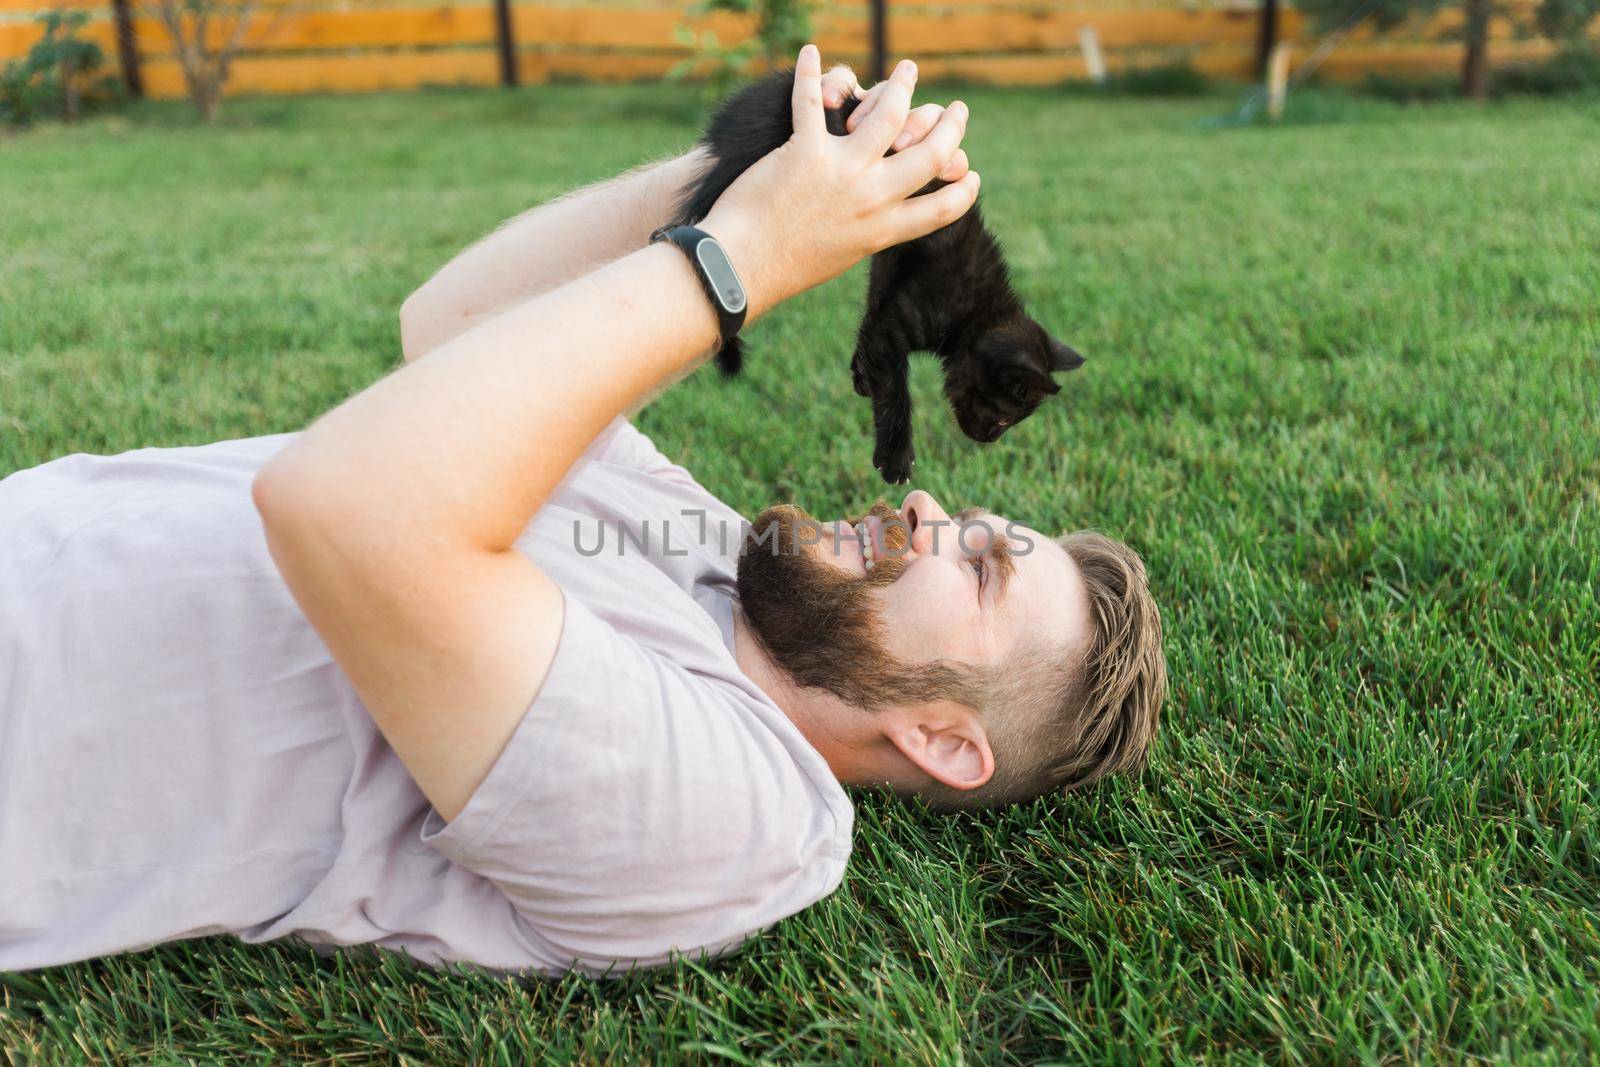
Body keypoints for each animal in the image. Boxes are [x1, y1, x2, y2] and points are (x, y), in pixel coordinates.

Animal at [668, 68, 1081, 483]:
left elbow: (873, 309)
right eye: (1006, 419)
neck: (978, 315)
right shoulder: (908, 316)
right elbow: (895, 388)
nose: (989, 440)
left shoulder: (888, 274)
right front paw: (895, 458)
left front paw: (860, 372)